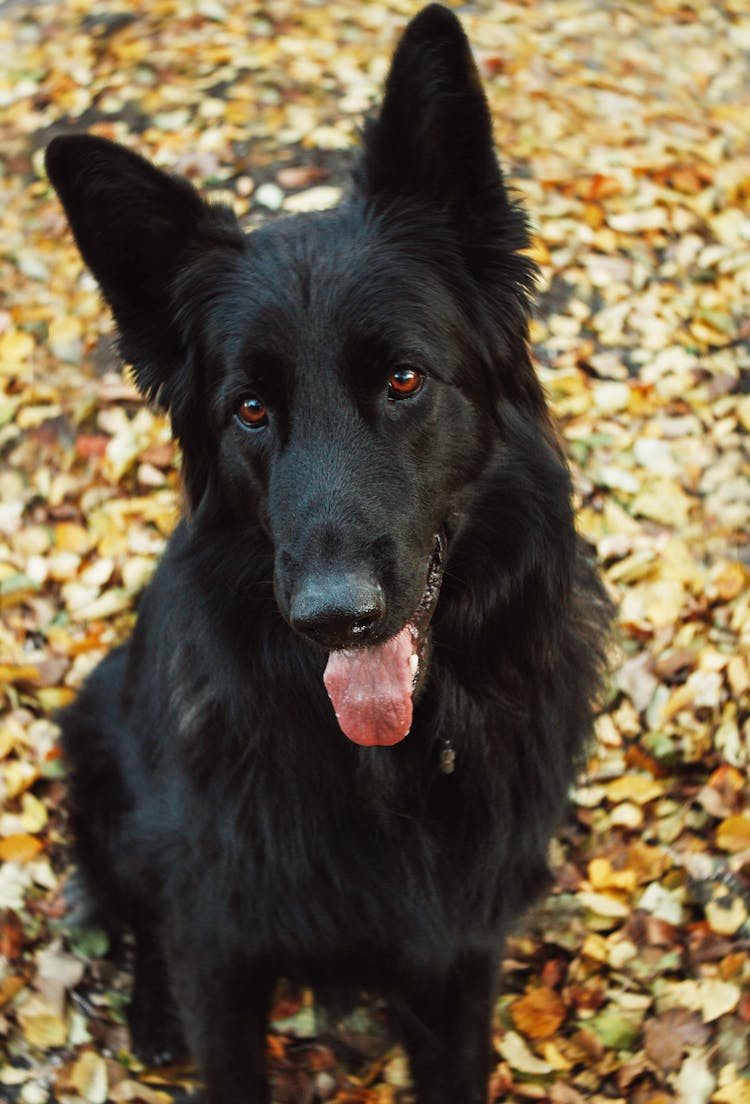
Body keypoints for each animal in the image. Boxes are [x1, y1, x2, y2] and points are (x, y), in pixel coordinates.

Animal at [45, 4, 609, 1099]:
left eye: (404, 379)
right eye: (251, 410)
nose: (335, 617)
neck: (387, 764)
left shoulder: (461, 953)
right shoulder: (222, 949)